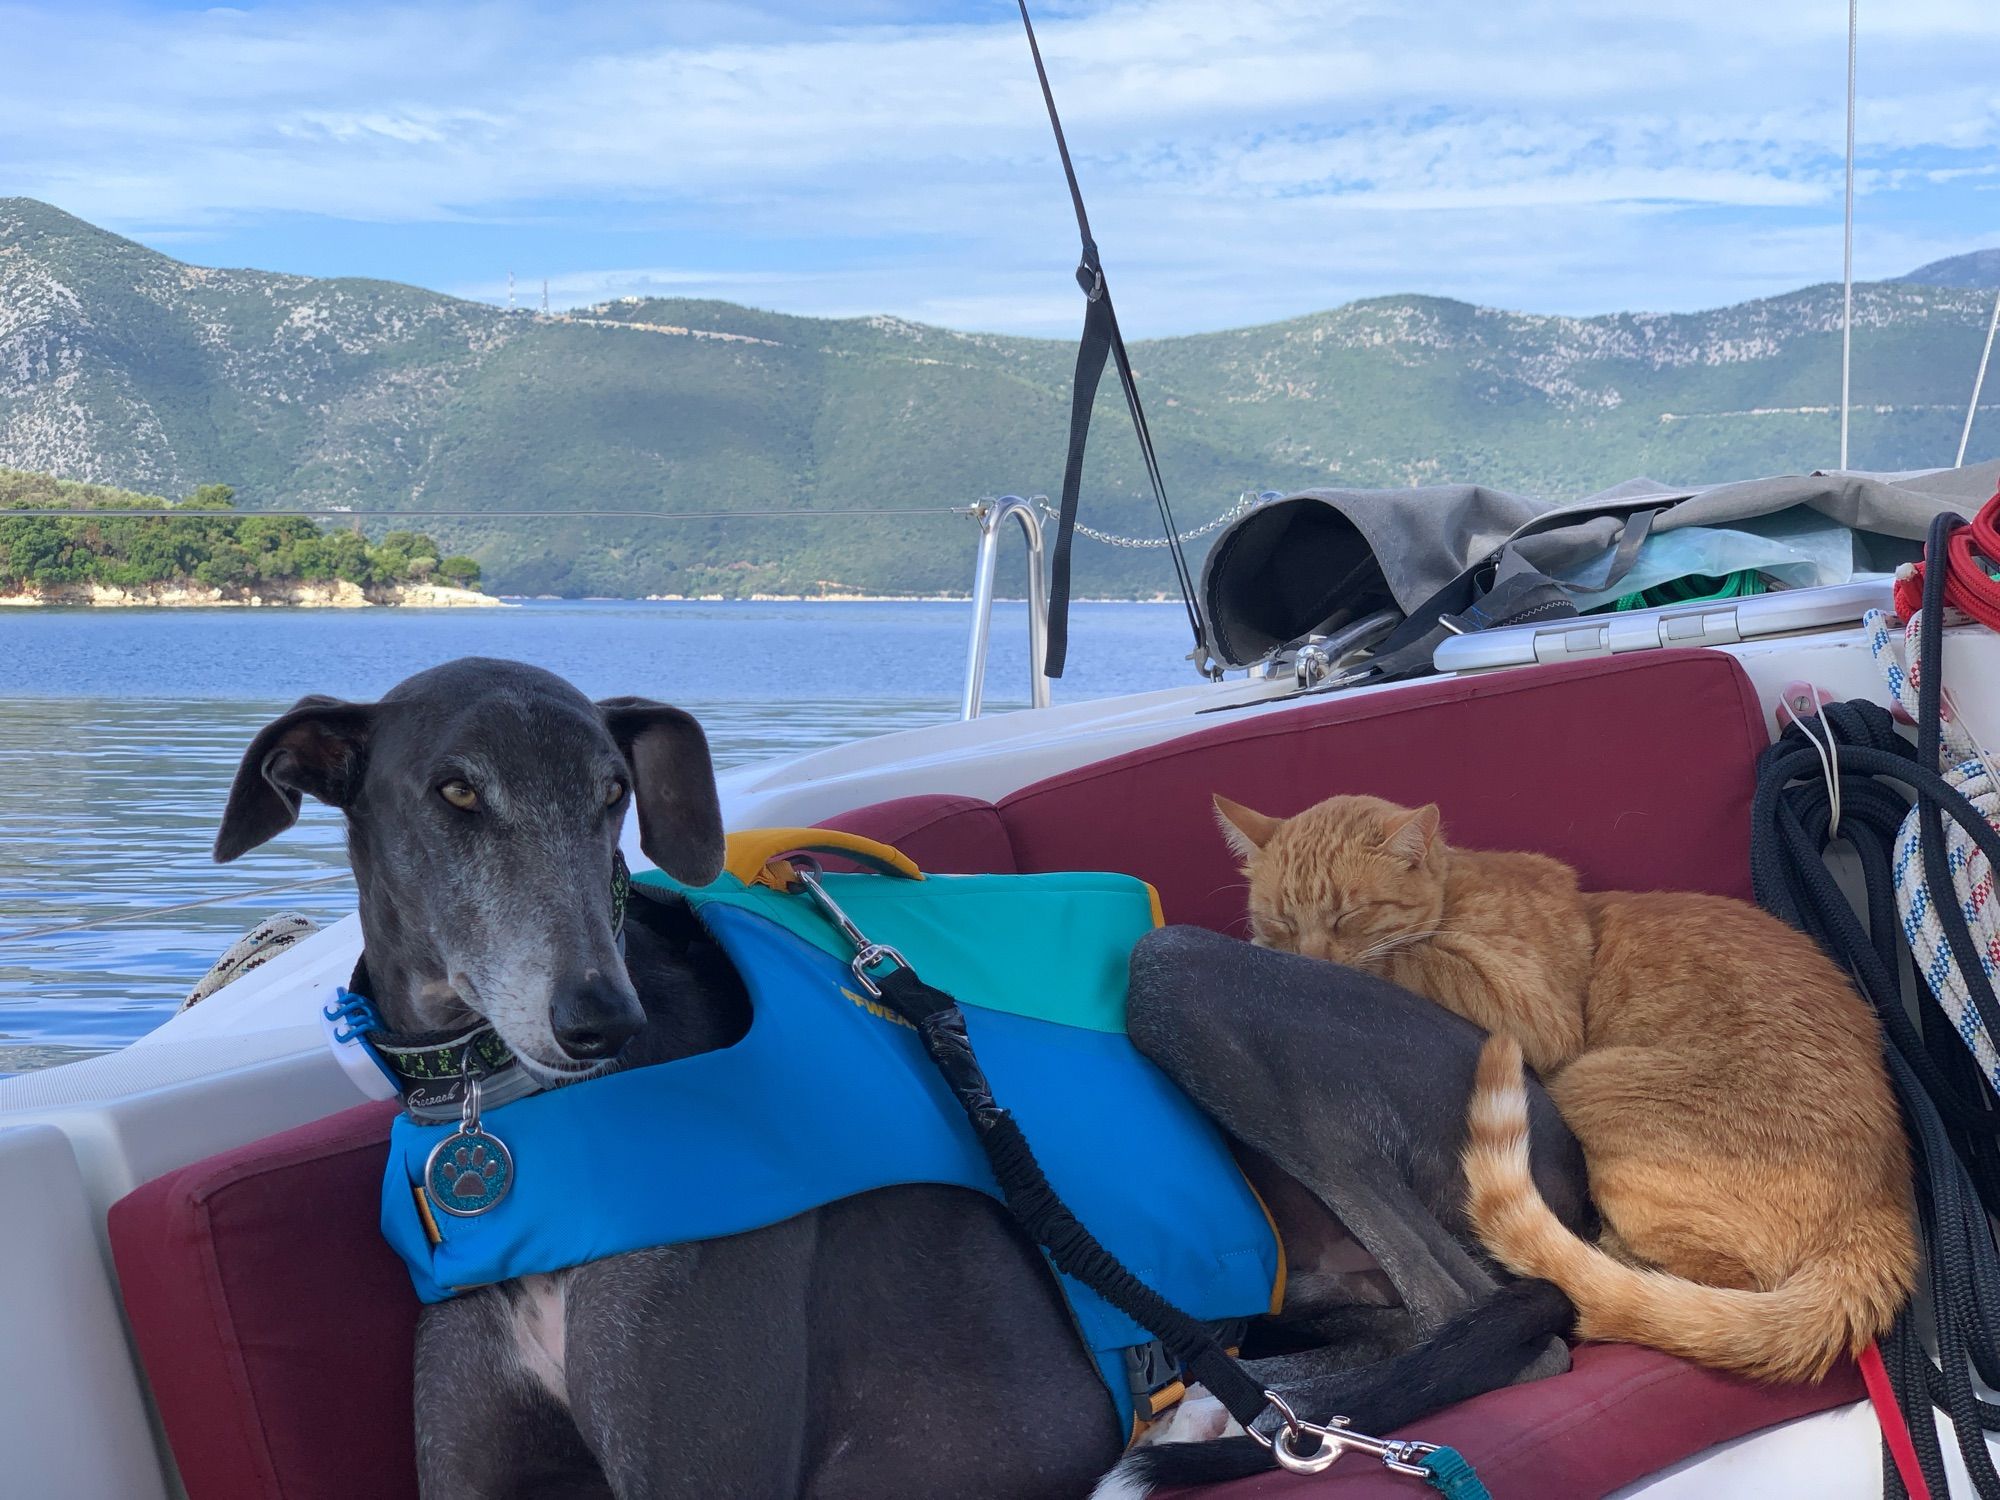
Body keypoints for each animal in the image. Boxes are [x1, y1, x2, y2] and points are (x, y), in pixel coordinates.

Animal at [215, 660, 1592, 1500]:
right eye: (452, 792)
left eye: (613, 796)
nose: (597, 1017)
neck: (504, 1115)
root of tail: (1553, 1133)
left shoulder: (698, 1467)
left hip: (1174, 973)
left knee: (1494, 1319)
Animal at [1208, 792, 1912, 1392]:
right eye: (1279, 921)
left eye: (1346, 915)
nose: (1299, 957)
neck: (1455, 893)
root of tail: (1883, 1206)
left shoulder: (1524, 1011)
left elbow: (1408, 963)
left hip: (1592, 1087)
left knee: (1685, 1280)